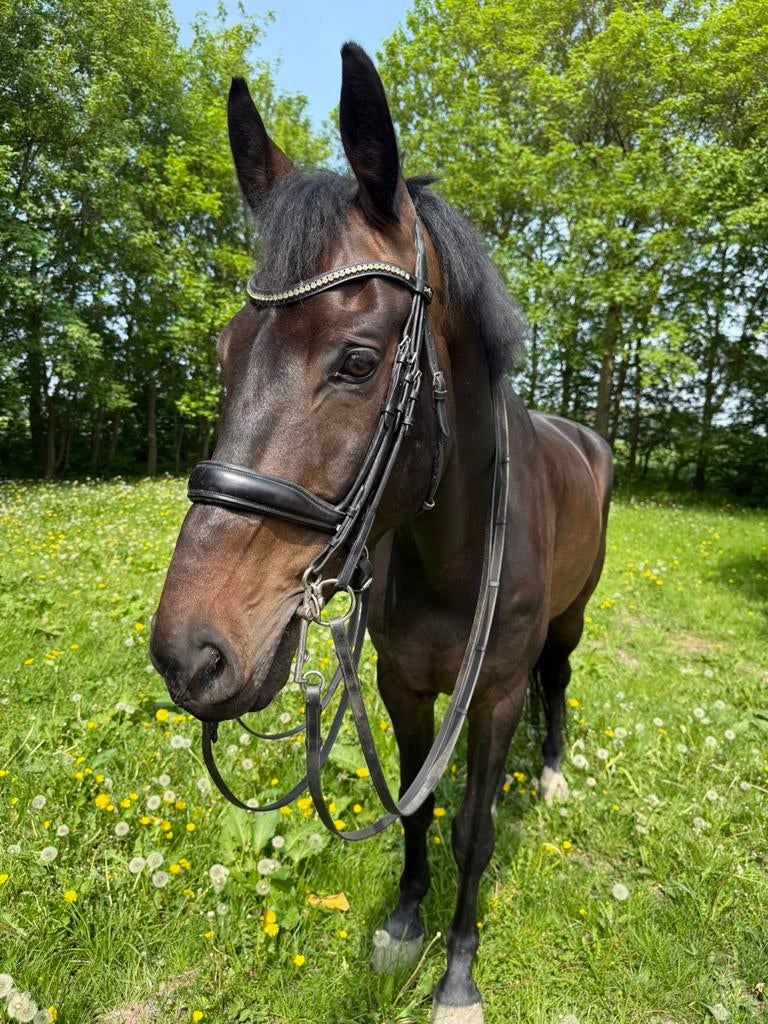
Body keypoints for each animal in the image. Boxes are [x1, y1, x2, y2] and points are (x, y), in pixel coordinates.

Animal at [149, 43, 613, 1024]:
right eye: (223, 353)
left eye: (358, 362)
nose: (188, 653)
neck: (453, 555)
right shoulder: (401, 684)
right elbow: (415, 803)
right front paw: (404, 924)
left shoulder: (494, 695)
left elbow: (474, 828)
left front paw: (458, 970)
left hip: (571, 621)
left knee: (559, 678)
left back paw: (552, 771)